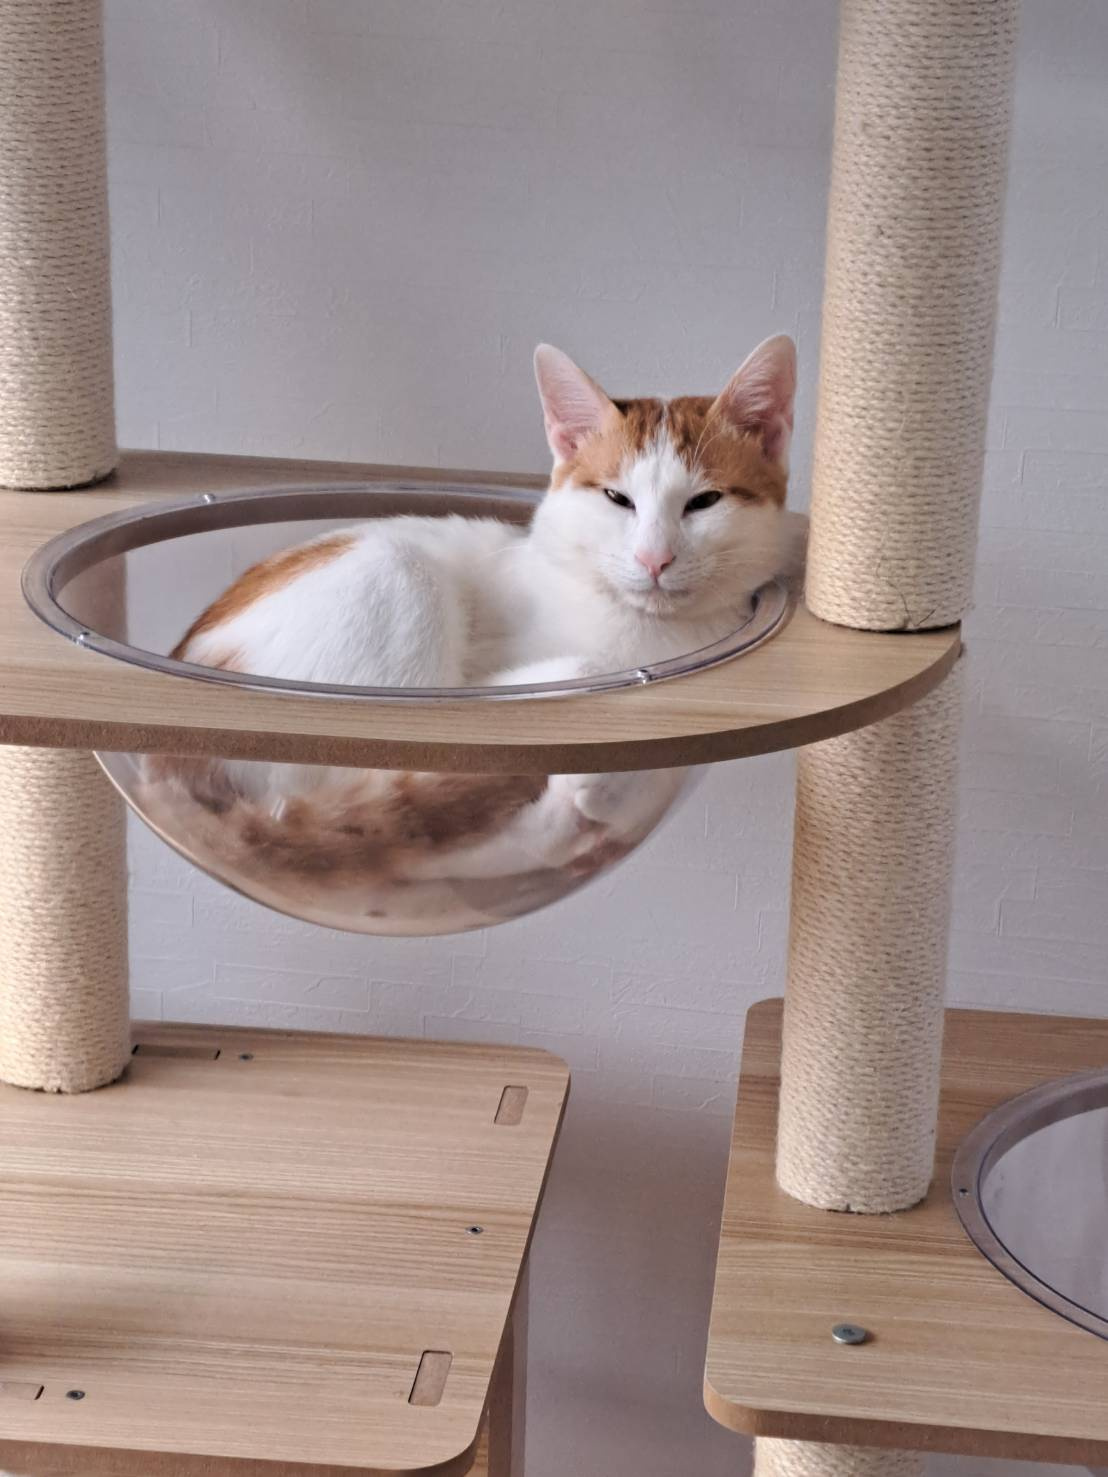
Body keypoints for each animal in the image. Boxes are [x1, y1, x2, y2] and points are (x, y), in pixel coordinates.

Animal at [139, 334, 800, 932]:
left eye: (704, 502)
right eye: (618, 498)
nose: (654, 559)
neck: (652, 633)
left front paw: (610, 794)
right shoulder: (484, 686)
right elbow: (576, 677)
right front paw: (597, 774)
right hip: (393, 572)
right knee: (374, 833)